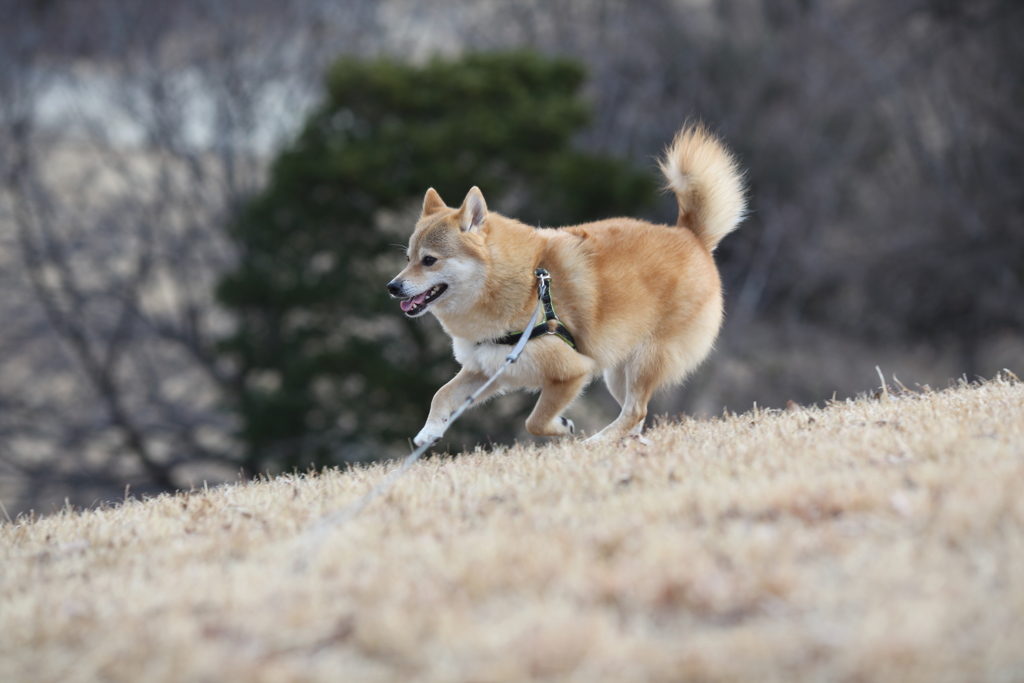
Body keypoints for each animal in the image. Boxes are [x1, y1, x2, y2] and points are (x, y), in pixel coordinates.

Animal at [387, 123, 749, 446]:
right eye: (408, 258)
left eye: (429, 260)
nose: (392, 287)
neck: (516, 284)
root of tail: (691, 237)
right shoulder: (487, 370)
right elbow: (441, 395)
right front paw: (429, 432)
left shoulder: (571, 372)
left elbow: (535, 421)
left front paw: (563, 427)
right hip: (618, 371)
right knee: (636, 415)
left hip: (645, 360)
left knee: (635, 411)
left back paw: (596, 442)